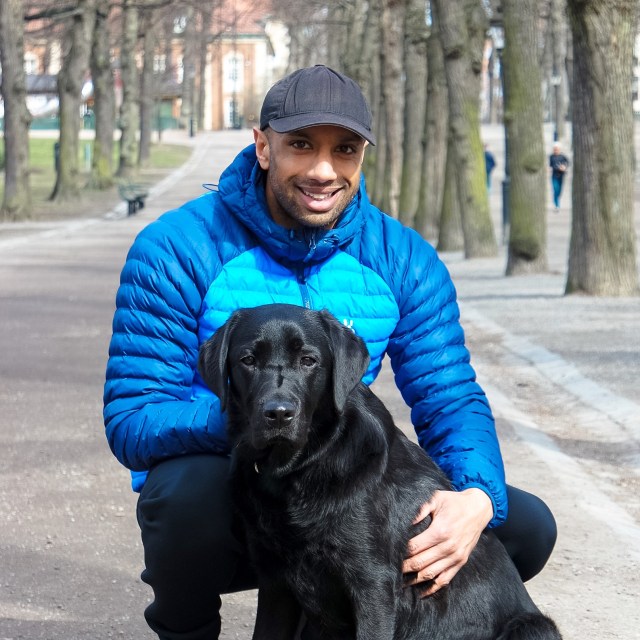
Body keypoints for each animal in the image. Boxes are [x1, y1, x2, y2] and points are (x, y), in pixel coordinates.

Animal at [198, 303, 561, 640]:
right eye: (247, 360)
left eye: (308, 360)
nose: (278, 413)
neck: (299, 467)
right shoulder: (275, 580)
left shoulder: (372, 584)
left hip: (533, 627)